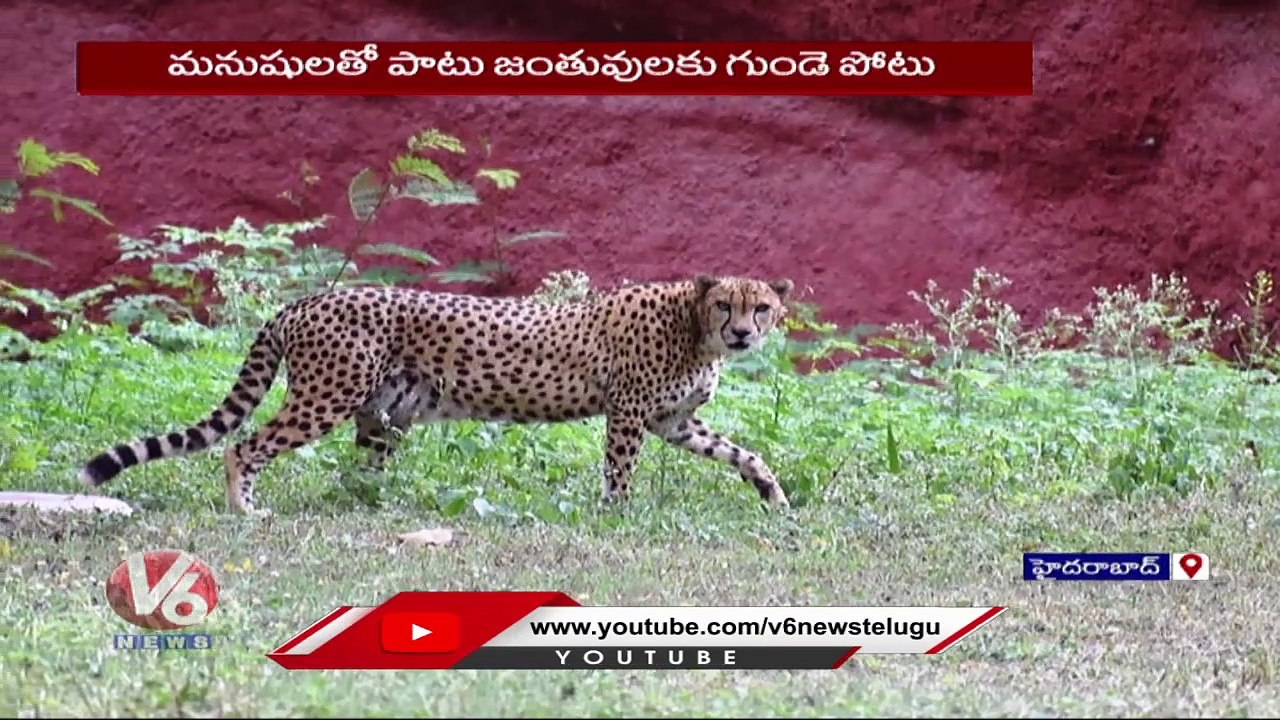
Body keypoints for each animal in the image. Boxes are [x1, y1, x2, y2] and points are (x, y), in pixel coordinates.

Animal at [80, 274, 796, 516]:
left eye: (760, 307)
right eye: (727, 305)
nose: (741, 332)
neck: (695, 328)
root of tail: (305, 300)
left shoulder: (672, 422)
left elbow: (746, 454)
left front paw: (775, 497)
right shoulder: (628, 415)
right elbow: (619, 473)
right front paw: (615, 516)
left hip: (383, 414)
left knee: (358, 470)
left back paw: (367, 506)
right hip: (327, 394)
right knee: (245, 445)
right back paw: (244, 509)